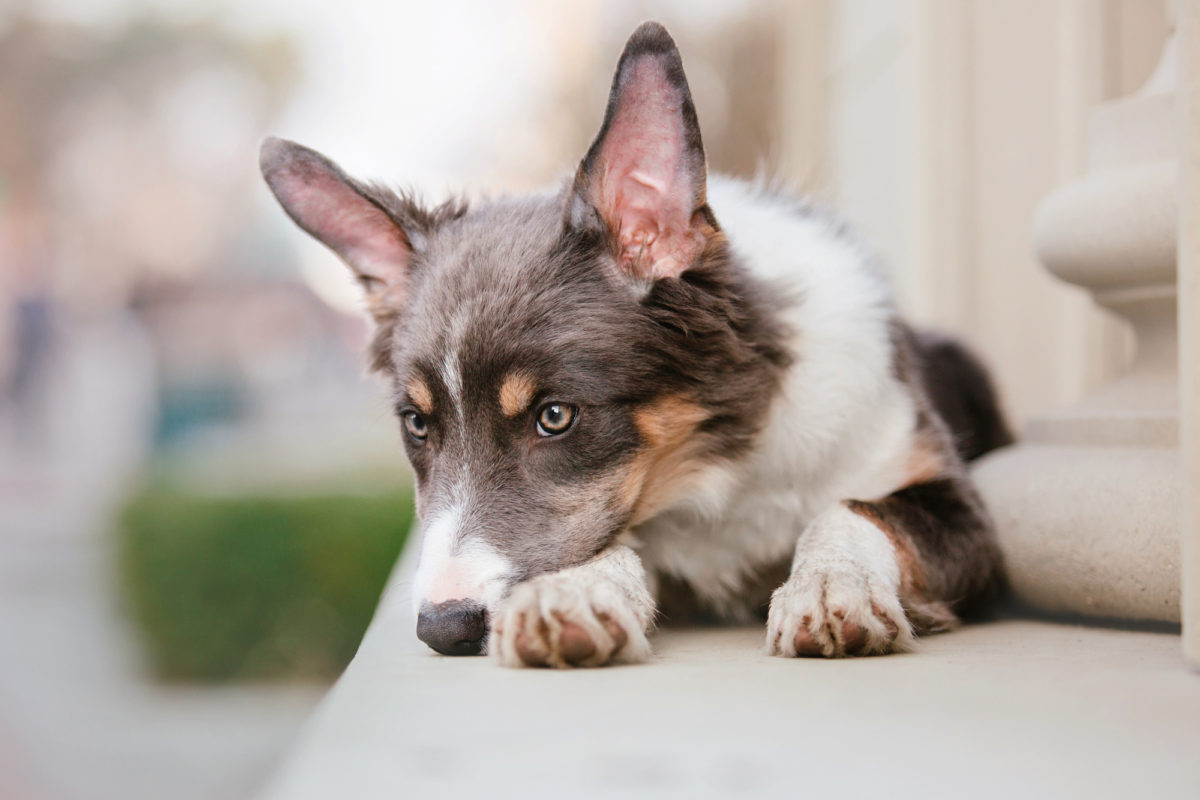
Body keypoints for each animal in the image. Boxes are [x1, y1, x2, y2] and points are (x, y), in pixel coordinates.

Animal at [260, 21, 1012, 666]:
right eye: (417, 425)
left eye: (555, 416)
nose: (444, 629)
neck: (719, 476)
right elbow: (620, 543)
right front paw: (576, 593)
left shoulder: (966, 519)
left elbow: (854, 508)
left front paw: (832, 586)